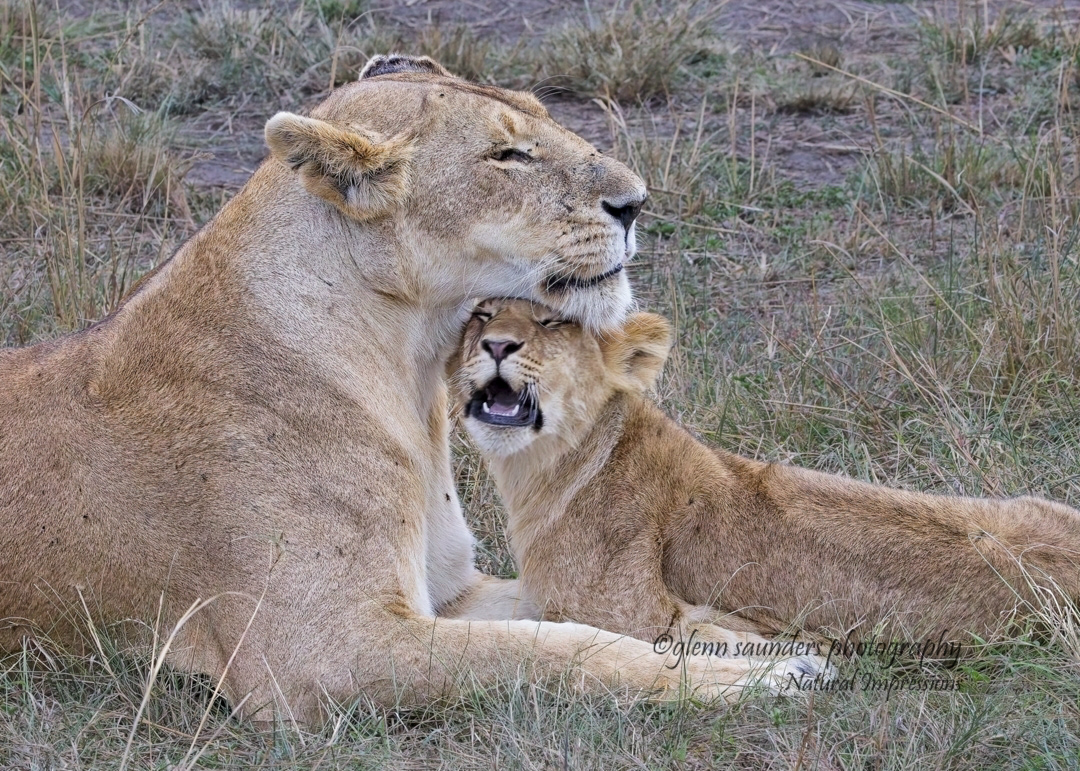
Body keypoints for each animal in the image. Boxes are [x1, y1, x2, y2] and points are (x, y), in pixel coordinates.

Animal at [0, 55, 827, 725]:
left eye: (545, 117)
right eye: (508, 154)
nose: (636, 202)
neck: (413, 365)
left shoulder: (450, 590)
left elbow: (575, 613)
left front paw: (751, 643)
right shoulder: (323, 653)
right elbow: (555, 649)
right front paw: (751, 679)